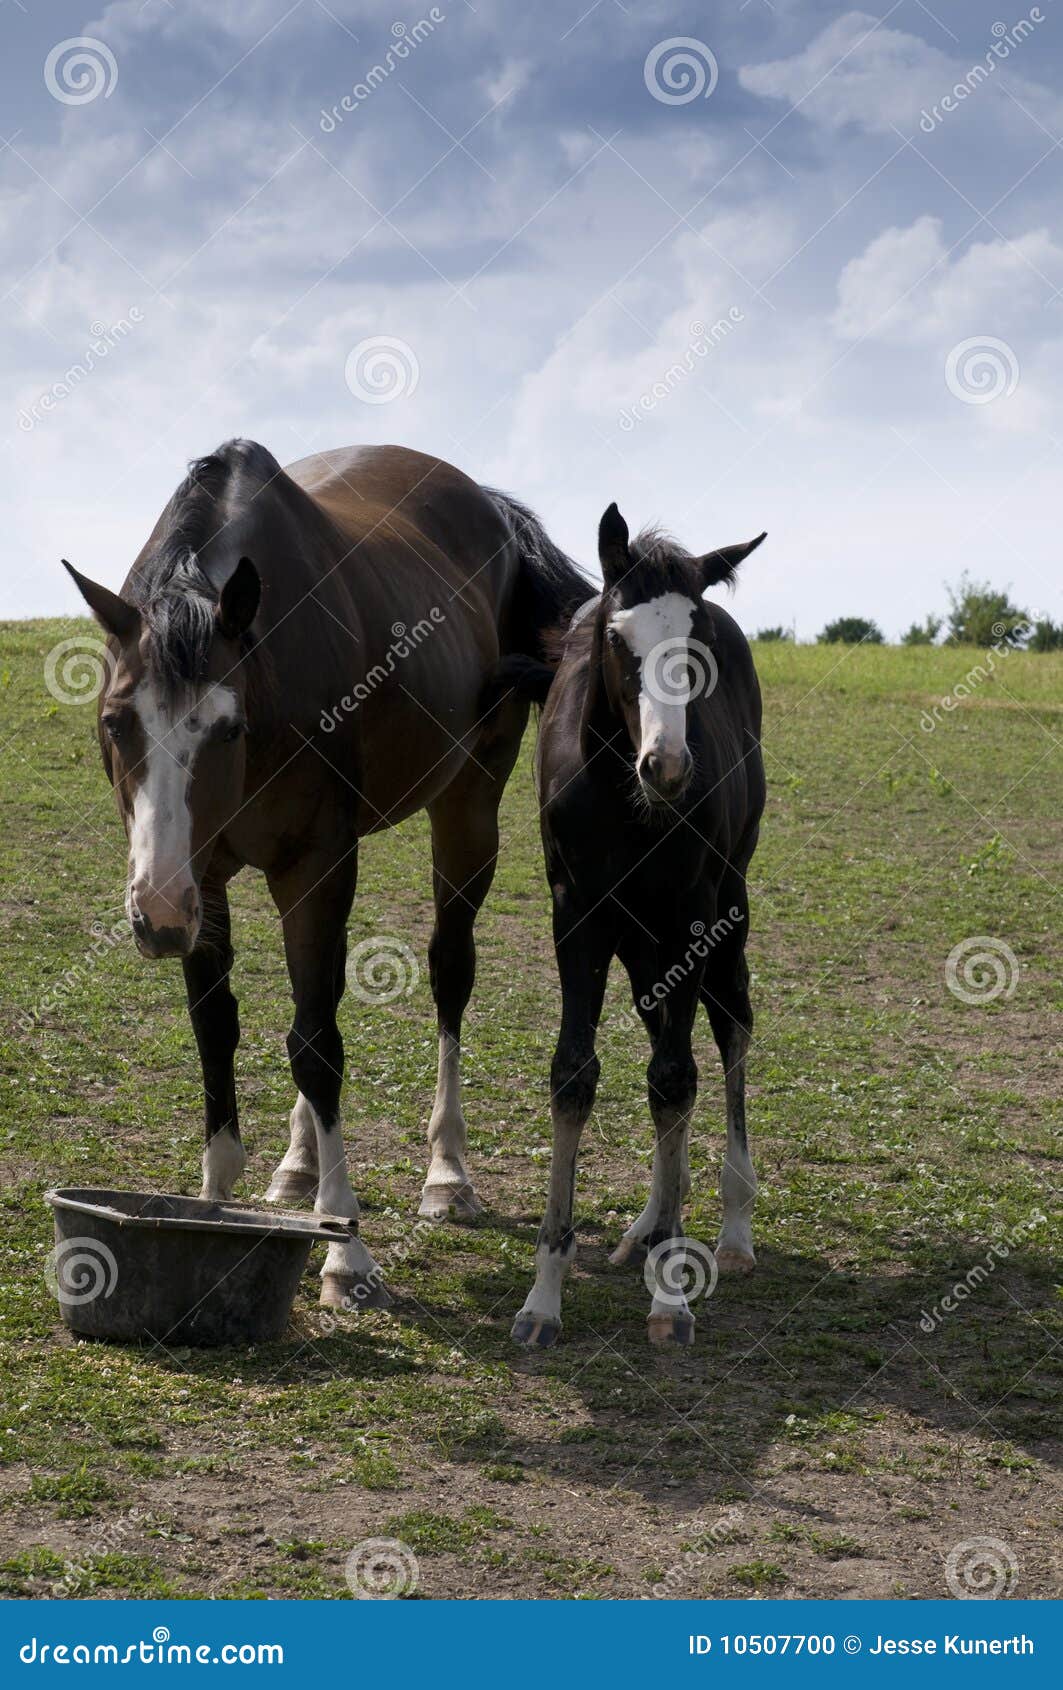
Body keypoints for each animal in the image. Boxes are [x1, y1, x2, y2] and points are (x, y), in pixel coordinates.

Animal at [63, 438, 592, 1309]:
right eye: (115, 721)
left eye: (226, 727)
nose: (155, 916)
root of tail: (491, 510)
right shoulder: (202, 880)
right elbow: (220, 1026)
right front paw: (213, 1200)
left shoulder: (314, 863)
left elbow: (316, 1044)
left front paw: (347, 1251)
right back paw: (298, 1165)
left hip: (468, 808)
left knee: (448, 974)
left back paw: (447, 1175)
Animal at [507, 502, 767, 1348]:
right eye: (618, 638)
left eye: (696, 644)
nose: (669, 766)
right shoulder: (577, 914)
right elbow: (575, 1074)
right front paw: (542, 1299)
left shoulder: (690, 915)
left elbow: (677, 1077)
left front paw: (671, 1297)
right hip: (638, 939)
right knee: (662, 1037)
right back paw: (649, 1223)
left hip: (724, 907)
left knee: (726, 1028)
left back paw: (728, 1230)